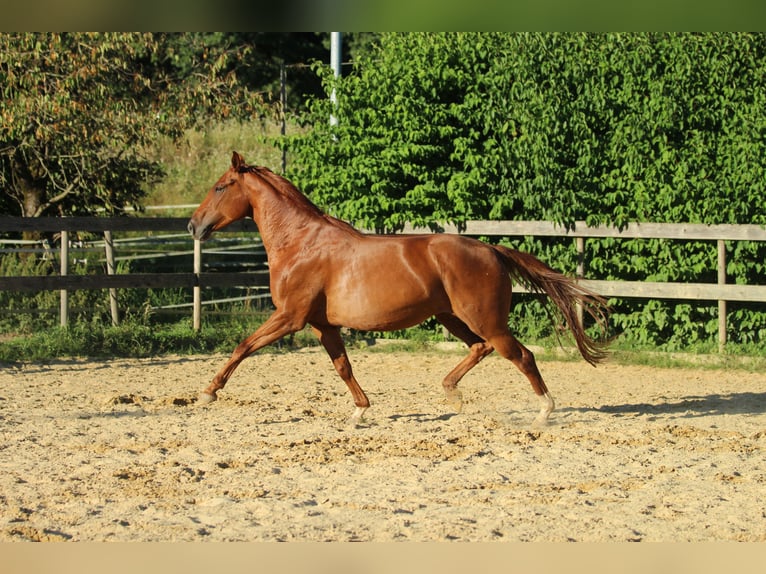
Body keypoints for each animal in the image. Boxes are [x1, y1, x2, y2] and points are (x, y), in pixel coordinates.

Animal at [189, 153, 608, 428]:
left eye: (220, 187)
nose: (194, 225)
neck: (300, 243)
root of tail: (491, 250)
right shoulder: (322, 325)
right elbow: (343, 366)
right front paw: (360, 409)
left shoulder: (290, 317)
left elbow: (243, 347)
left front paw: (207, 392)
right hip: (451, 317)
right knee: (480, 348)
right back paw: (452, 393)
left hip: (486, 320)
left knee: (521, 356)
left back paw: (544, 410)